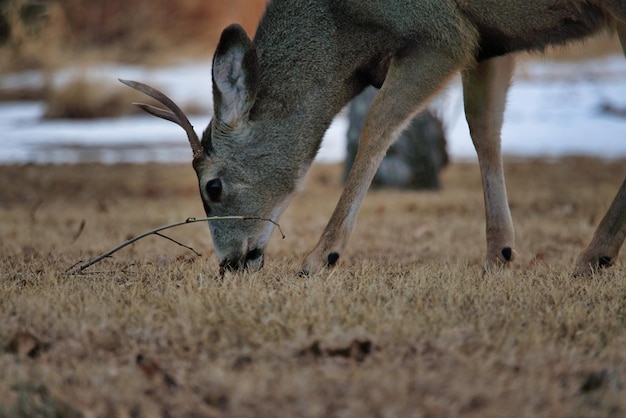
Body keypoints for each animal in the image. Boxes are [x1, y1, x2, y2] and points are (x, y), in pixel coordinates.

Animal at [119, 0, 620, 278]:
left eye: (213, 186)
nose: (228, 263)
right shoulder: (488, 40)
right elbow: (484, 127)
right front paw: (500, 254)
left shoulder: (443, 34)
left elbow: (377, 124)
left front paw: (321, 256)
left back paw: (594, 256)